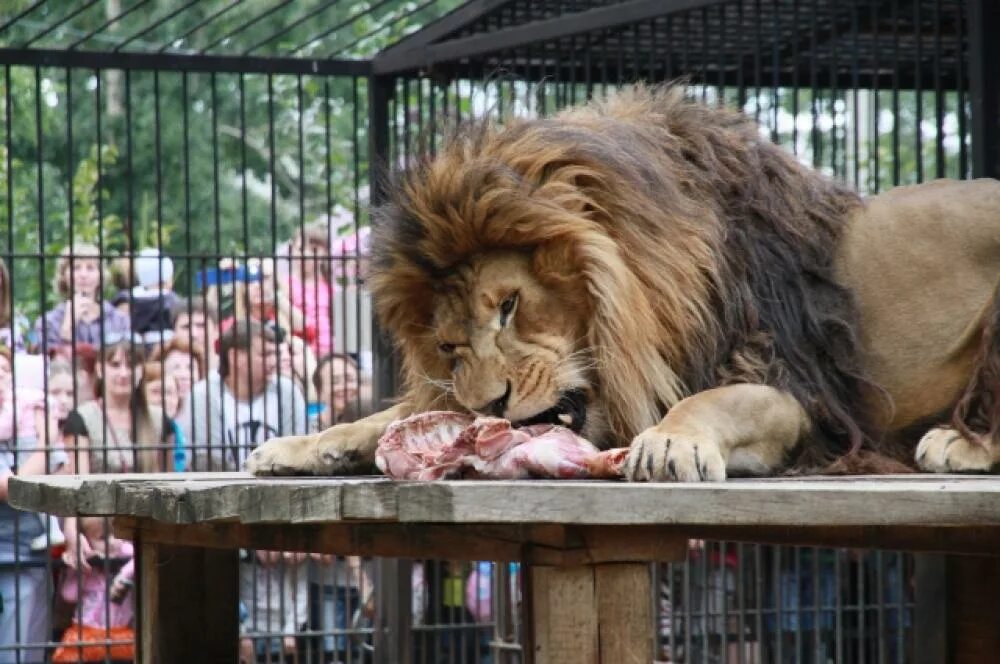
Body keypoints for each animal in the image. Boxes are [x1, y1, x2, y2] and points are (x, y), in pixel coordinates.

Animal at [248, 87, 1000, 482]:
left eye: (510, 307)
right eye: (451, 346)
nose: (492, 407)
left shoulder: (798, 389)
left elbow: (716, 399)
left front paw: (670, 440)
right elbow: (399, 411)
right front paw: (311, 443)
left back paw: (958, 442)